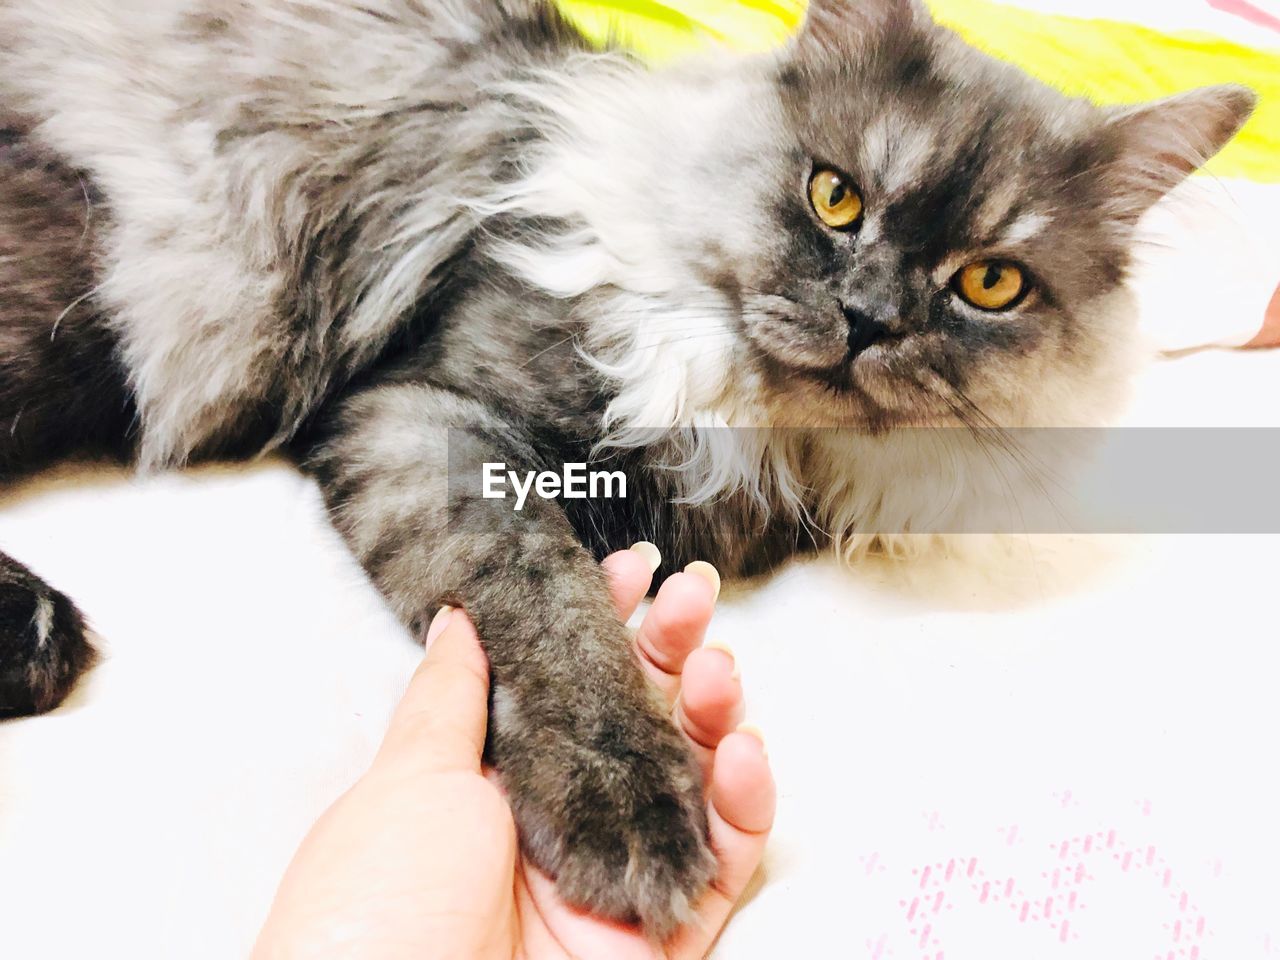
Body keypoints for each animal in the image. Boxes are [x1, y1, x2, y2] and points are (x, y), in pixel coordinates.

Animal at [0, 0, 1254, 942]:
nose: (868, 320)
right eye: (834, 196)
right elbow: (544, 606)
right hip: (87, 310)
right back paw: (37, 638)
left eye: (989, 285)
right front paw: (627, 811)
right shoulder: (428, 415)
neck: (764, 432)